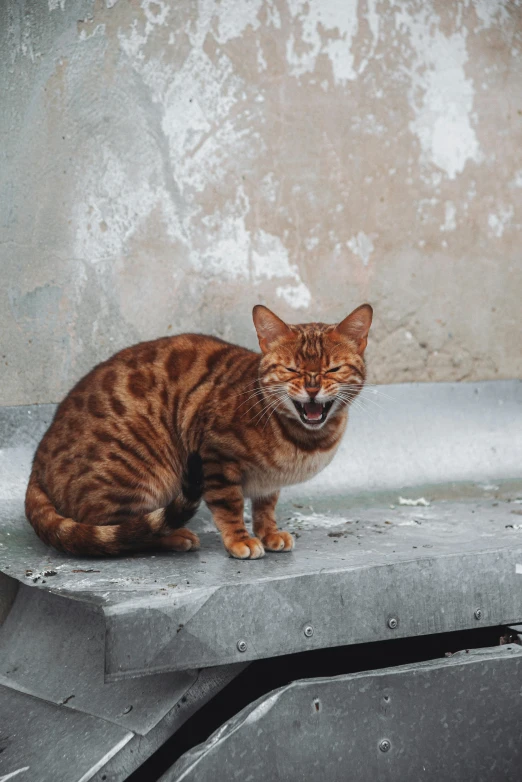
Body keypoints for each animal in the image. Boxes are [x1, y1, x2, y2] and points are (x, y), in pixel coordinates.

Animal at [24, 304, 370, 560]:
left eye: (333, 369)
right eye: (291, 369)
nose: (312, 388)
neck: (305, 440)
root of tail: (36, 465)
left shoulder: (269, 483)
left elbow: (265, 507)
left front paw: (270, 533)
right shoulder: (215, 456)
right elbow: (229, 505)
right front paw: (240, 540)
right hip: (135, 476)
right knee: (120, 533)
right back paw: (173, 536)